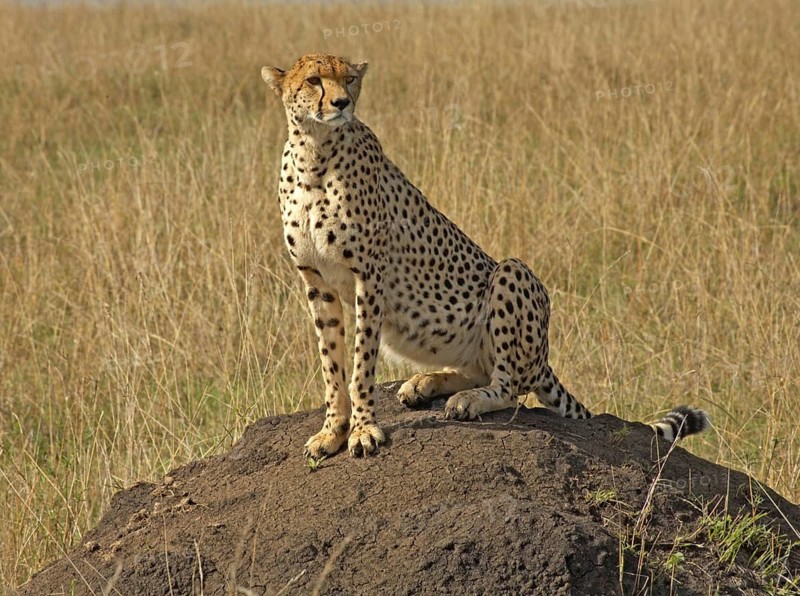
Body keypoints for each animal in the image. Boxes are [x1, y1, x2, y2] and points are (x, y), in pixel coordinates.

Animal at [261, 53, 709, 459]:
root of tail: (543, 358)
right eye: (314, 80)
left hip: (512, 272)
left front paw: (363, 429)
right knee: (480, 370)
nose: (341, 103)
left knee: (510, 388)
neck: (314, 153)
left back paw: (467, 400)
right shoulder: (317, 281)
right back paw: (425, 384)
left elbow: (360, 366)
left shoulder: (369, 277)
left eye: (350, 79)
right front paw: (332, 430)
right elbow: (332, 366)